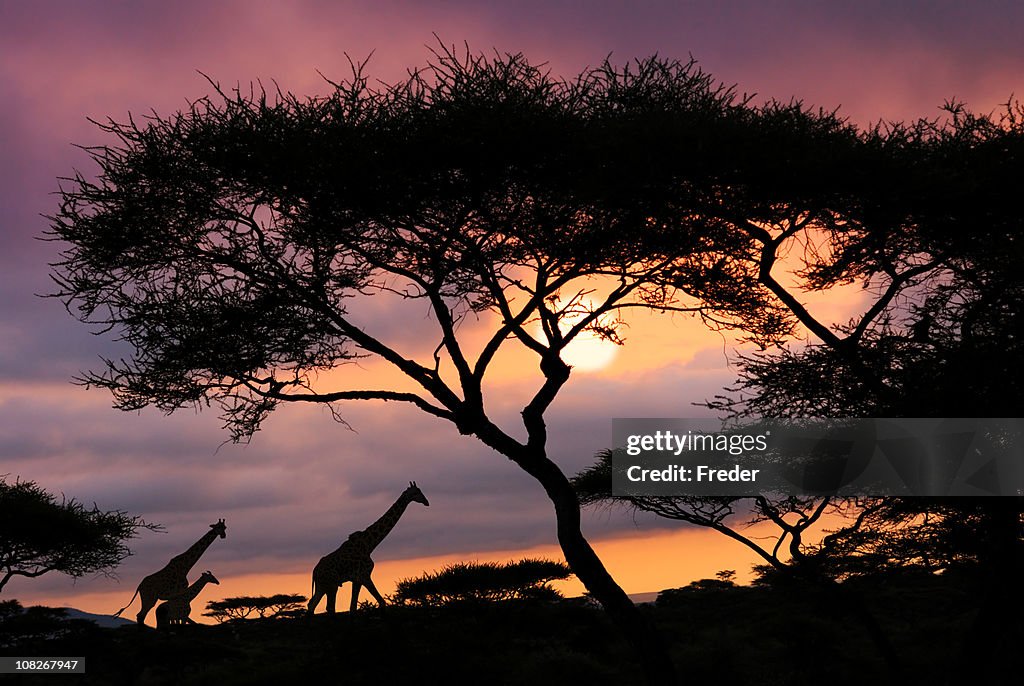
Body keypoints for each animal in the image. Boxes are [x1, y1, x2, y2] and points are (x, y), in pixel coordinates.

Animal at [307, 483, 428, 618]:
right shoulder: (364, 576)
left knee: (312, 605)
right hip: (332, 585)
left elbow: (353, 608)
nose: (426, 502)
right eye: (416, 492)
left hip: (322, 586)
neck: (369, 545)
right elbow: (381, 602)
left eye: (420, 491)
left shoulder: (356, 579)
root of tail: (315, 571)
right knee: (329, 607)